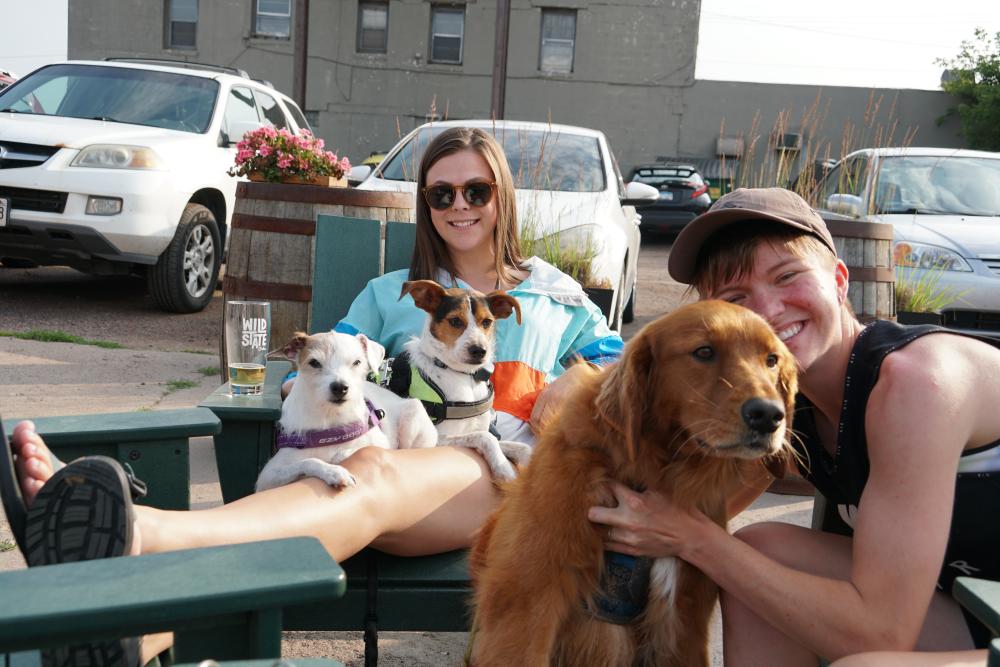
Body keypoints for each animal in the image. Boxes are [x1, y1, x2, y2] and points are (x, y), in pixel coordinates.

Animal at [466, 302, 796, 667]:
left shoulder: (684, 622)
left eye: (772, 359)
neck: (649, 474)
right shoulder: (526, 604)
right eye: (704, 351)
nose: (769, 415)